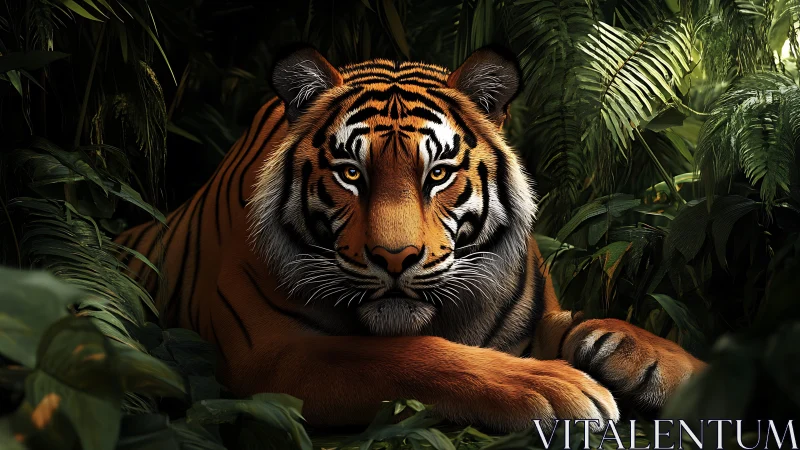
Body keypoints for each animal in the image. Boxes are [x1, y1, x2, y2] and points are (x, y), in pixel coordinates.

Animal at [115, 44, 706, 431]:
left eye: (438, 173)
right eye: (351, 173)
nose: (394, 258)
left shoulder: (539, 315)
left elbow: (606, 325)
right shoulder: (272, 355)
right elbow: (412, 355)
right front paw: (554, 386)